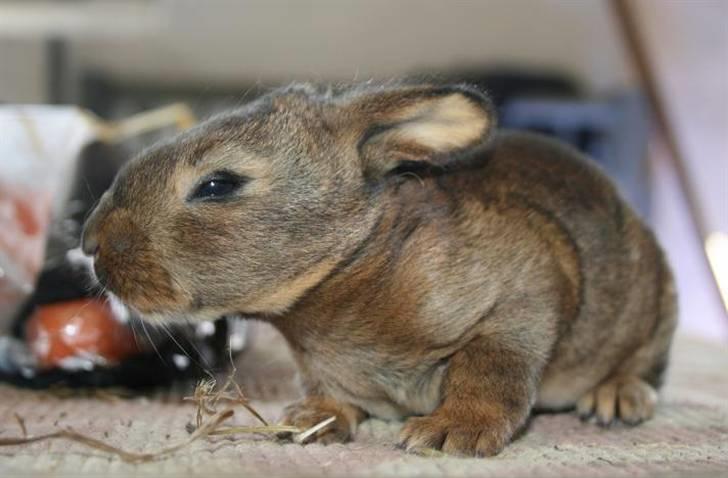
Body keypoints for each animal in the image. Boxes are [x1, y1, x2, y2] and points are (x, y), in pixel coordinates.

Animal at [82, 82, 680, 456]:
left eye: (217, 184)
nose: (91, 243)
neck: (356, 262)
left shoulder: (519, 300)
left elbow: (491, 369)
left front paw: (451, 432)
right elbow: (329, 395)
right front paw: (307, 422)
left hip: (655, 311)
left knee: (642, 364)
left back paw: (617, 398)